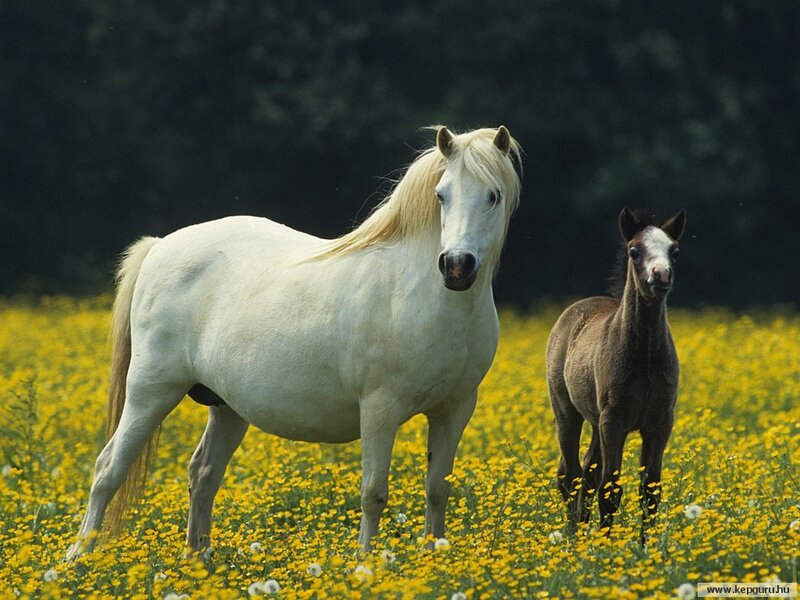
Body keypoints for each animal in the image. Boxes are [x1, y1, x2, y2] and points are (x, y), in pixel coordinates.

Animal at [65, 126, 522, 561]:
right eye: (441, 195)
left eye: (493, 196)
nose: (456, 266)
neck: (420, 296)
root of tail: (161, 245)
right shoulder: (380, 409)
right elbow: (373, 494)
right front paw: (365, 566)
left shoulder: (454, 410)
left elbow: (437, 489)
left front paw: (434, 560)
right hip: (151, 391)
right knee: (108, 469)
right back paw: (78, 560)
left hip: (227, 408)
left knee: (203, 474)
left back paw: (198, 562)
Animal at [545, 207, 686, 540]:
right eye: (634, 251)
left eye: (674, 251)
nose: (661, 275)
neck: (643, 356)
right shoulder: (615, 421)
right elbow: (610, 489)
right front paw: (607, 547)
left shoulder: (660, 422)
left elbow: (650, 490)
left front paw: (646, 546)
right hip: (567, 413)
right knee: (569, 476)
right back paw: (574, 536)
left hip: (596, 422)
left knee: (586, 472)